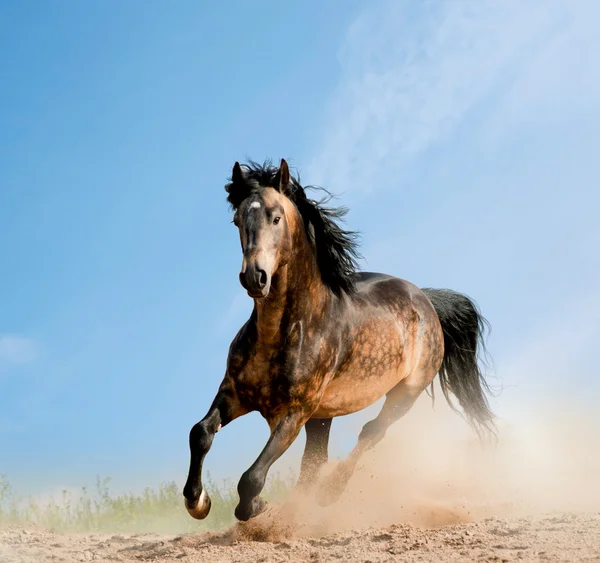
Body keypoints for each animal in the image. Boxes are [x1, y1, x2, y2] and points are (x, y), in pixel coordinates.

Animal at [184, 159, 496, 524]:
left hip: (404, 394)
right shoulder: (234, 392)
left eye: (276, 217)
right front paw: (198, 502)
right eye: (237, 220)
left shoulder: (294, 412)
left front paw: (257, 507)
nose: (254, 277)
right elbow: (200, 433)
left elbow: (252, 478)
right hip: (323, 415)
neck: (284, 332)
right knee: (316, 459)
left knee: (371, 432)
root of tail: (427, 301)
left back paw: (329, 493)